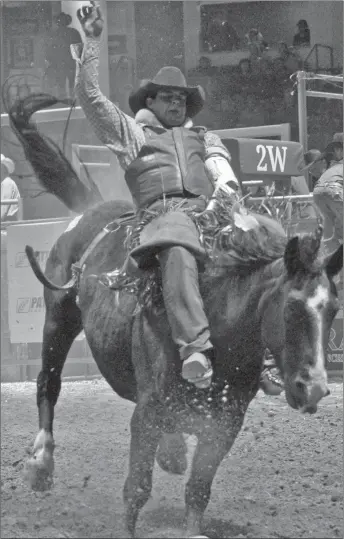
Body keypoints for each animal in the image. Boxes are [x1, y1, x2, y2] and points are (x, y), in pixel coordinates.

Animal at [9, 95, 342, 536]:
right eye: (290, 308)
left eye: (334, 309)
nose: (315, 388)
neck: (220, 326)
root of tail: (93, 208)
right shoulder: (146, 413)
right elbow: (136, 489)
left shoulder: (226, 422)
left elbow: (198, 488)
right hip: (57, 317)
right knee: (48, 383)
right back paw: (41, 464)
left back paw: (171, 451)